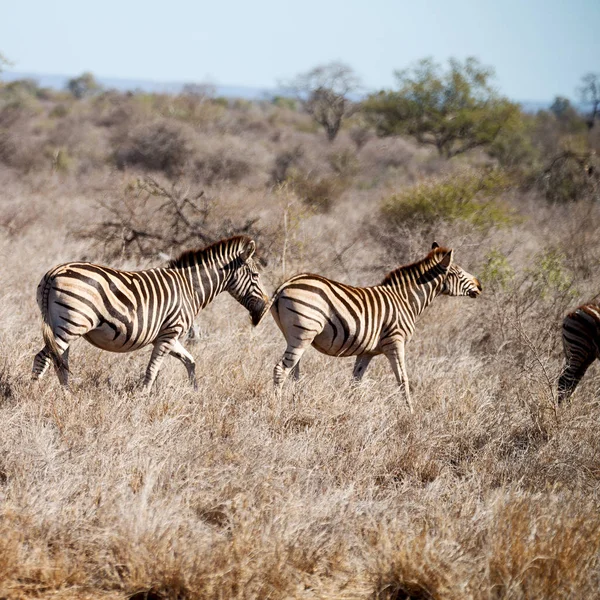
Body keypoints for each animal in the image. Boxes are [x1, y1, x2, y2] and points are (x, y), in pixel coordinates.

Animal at [32, 237, 268, 392]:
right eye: (256, 275)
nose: (265, 307)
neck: (190, 288)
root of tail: (53, 273)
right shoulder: (170, 333)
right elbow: (153, 370)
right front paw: (143, 398)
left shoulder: (168, 335)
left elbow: (190, 361)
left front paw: (195, 392)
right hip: (71, 324)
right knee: (43, 357)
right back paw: (33, 395)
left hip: (61, 326)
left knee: (59, 361)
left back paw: (67, 395)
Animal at [272, 244, 482, 412]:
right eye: (459, 273)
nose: (480, 286)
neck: (406, 300)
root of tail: (287, 282)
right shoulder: (395, 342)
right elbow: (403, 380)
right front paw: (411, 412)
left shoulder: (367, 352)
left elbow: (355, 381)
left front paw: (351, 408)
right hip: (303, 334)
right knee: (281, 369)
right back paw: (277, 406)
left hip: (294, 336)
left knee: (293, 371)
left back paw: (295, 401)